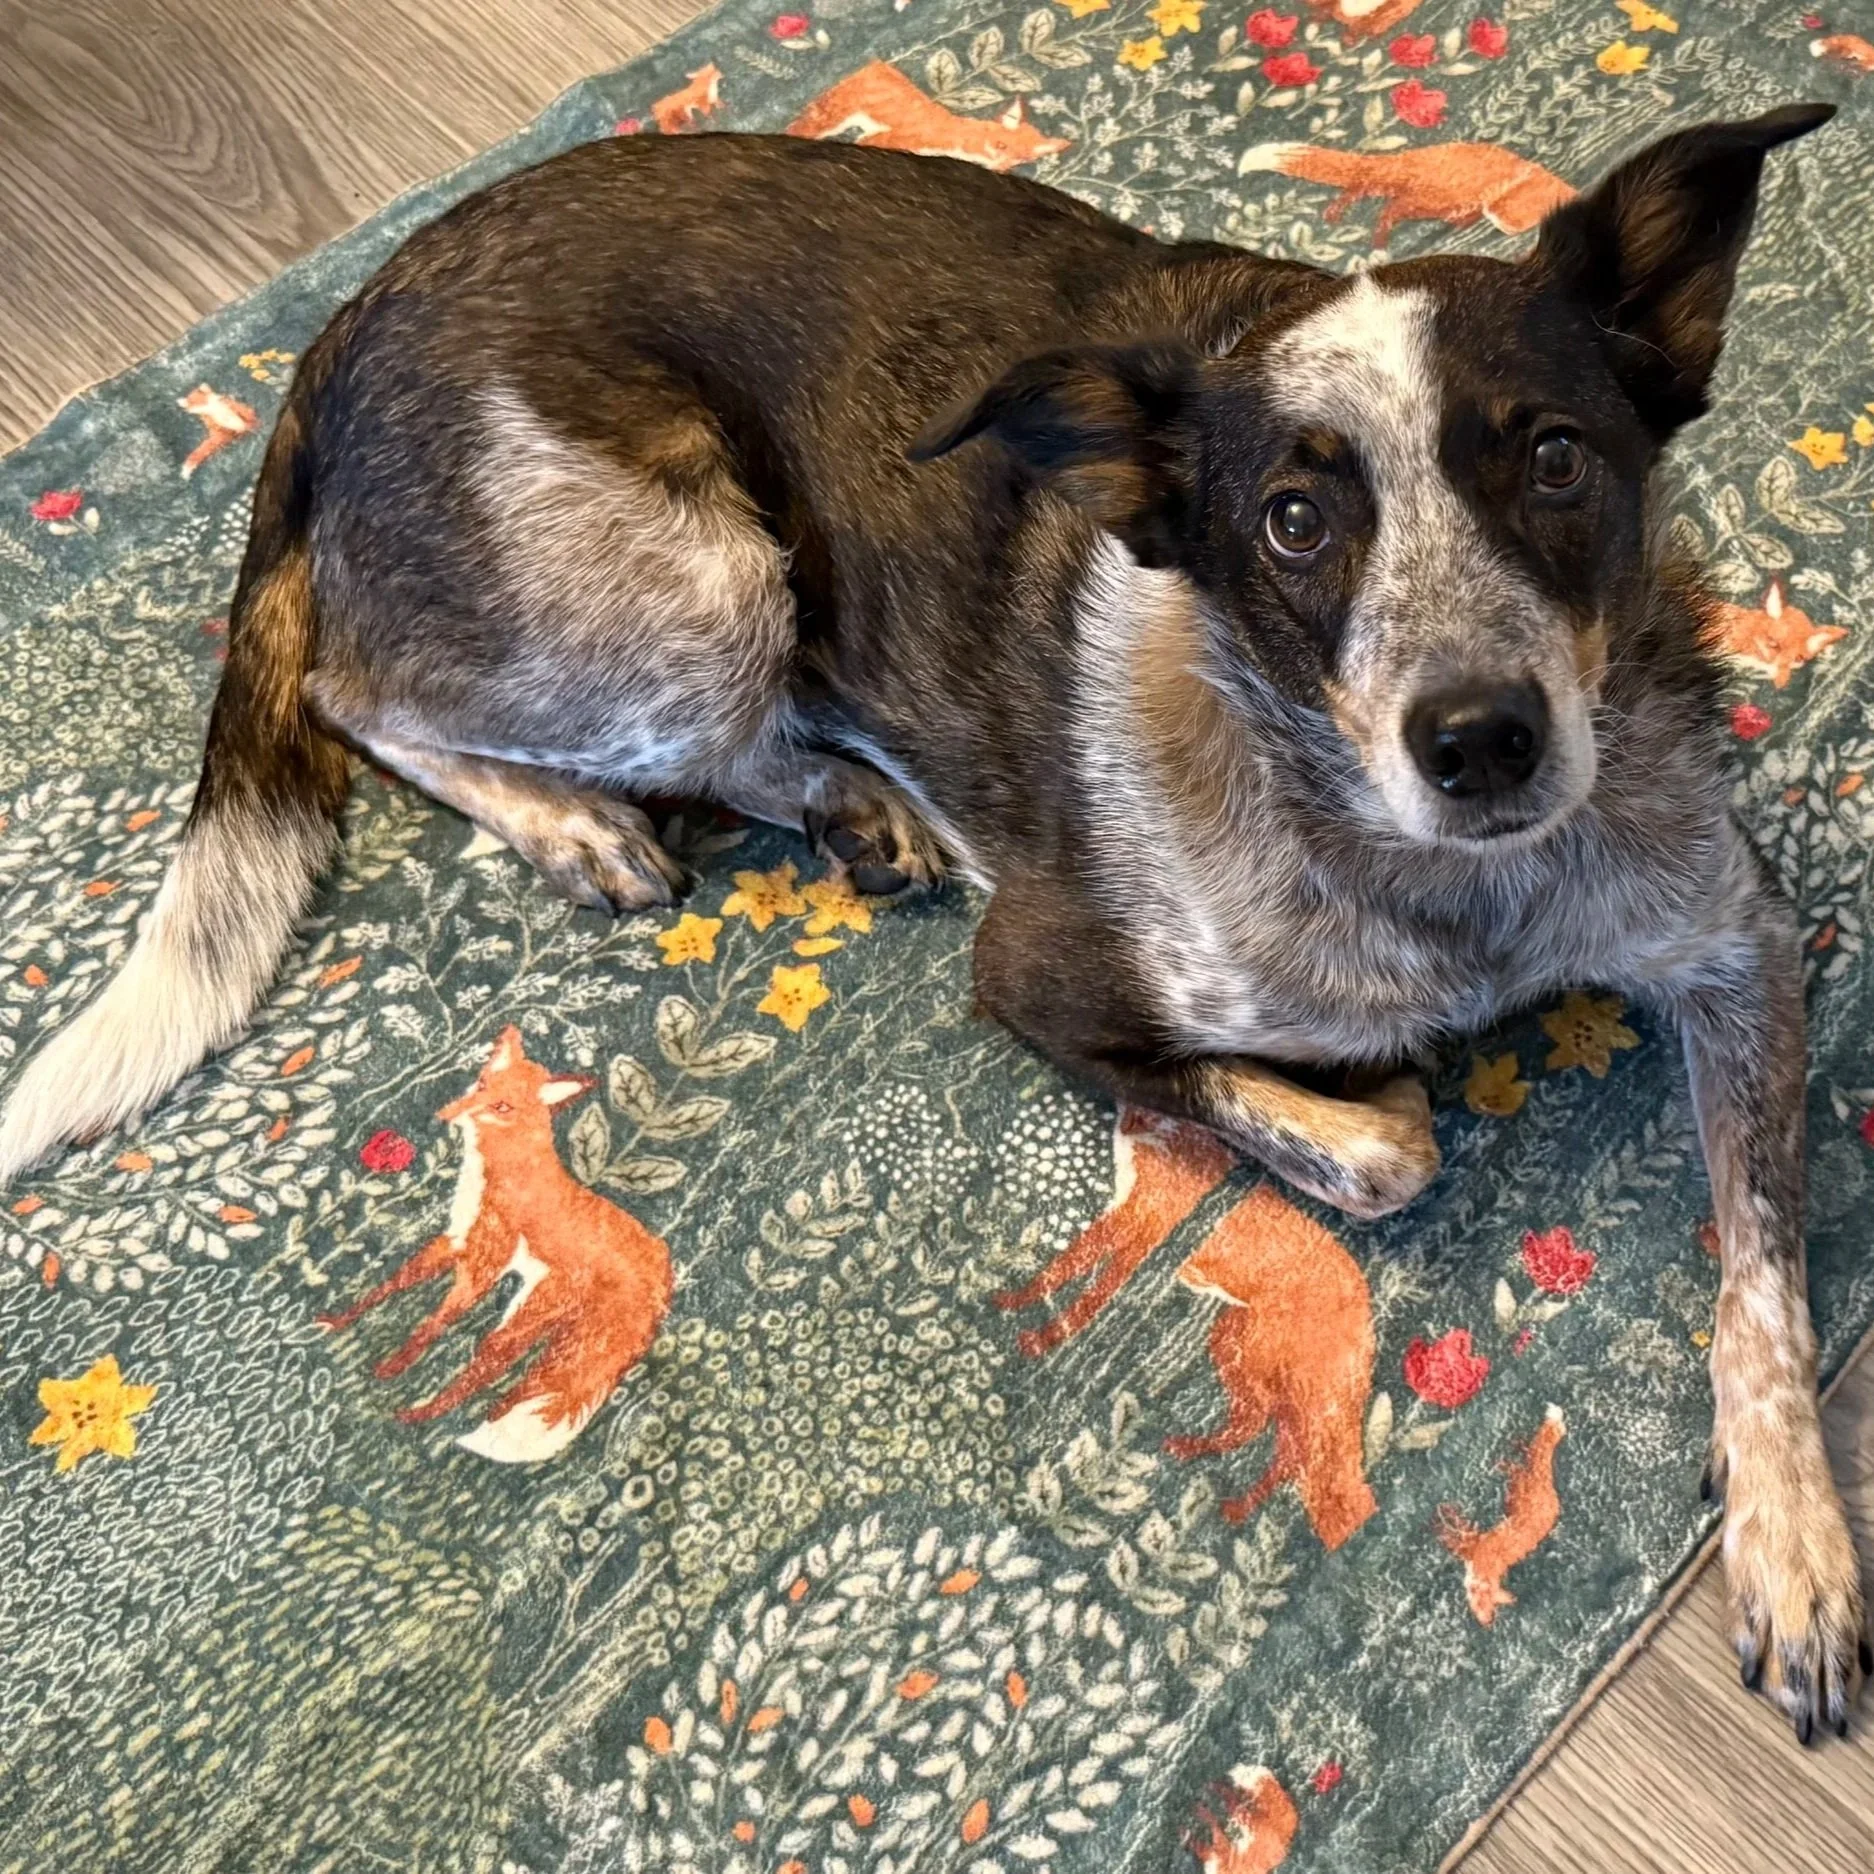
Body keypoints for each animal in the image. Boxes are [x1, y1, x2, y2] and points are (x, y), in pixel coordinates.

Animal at [319, 1025, 674, 1463]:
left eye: (502, 1106)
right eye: (482, 1084)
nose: (446, 1115)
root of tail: (664, 1276)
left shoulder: (482, 1266)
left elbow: (430, 1325)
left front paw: (391, 1368)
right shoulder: (456, 1240)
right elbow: (390, 1286)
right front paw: (336, 1322)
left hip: (526, 1318)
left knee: (486, 1368)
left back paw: (418, 1419)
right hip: (551, 1339)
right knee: (517, 1387)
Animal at [787, 61, 1071, 172]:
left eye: (1019, 160)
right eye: (1001, 145)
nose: (998, 168)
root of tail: (876, 64)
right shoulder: (885, 140)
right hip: (835, 118)